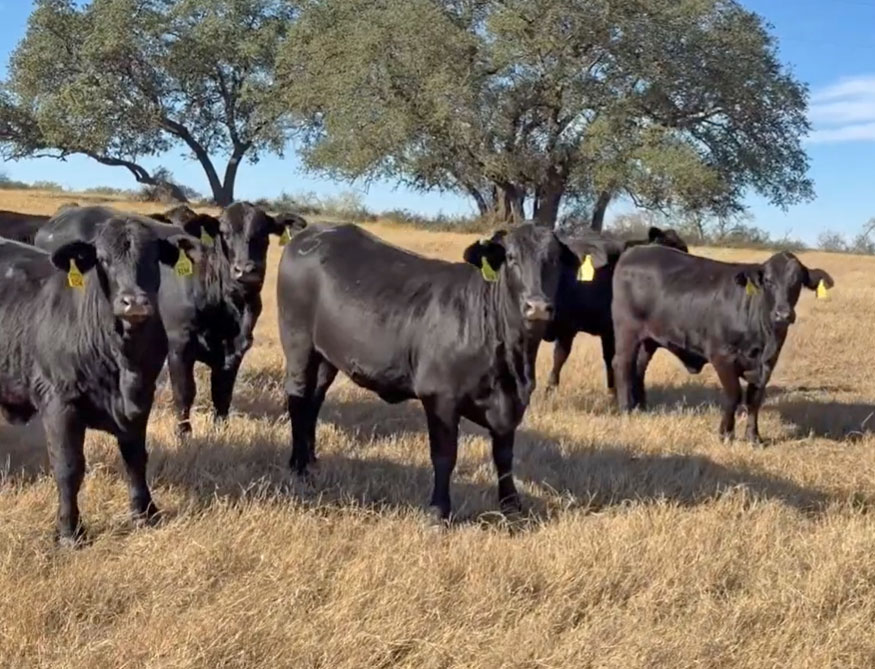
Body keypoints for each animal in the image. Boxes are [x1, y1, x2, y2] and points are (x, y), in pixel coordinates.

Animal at [0, 222, 198, 545]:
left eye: (152, 256)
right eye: (102, 260)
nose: (134, 302)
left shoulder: (141, 400)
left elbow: (135, 459)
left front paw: (145, 512)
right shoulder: (59, 403)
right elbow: (69, 467)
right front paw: (69, 531)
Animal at [277, 223, 601, 523]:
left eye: (554, 259)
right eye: (511, 258)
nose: (538, 307)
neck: (512, 360)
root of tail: (312, 232)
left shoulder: (509, 405)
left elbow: (504, 457)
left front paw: (512, 506)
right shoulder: (440, 397)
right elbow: (445, 455)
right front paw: (438, 511)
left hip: (325, 356)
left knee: (314, 400)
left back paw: (311, 460)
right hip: (298, 343)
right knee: (298, 396)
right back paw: (297, 466)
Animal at [611, 246, 834, 443]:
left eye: (797, 282)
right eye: (768, 281)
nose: (783, 314)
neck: (764, 337)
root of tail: (634, 251)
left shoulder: (767, 364)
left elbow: (754, 400)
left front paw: (754, 437)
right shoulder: (722, 357)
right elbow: (734, 395)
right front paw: (725, 434)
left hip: (649, 339)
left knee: (639, 368)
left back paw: (641, 407)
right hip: (626, 331)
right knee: (623, 365)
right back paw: (626, 410)